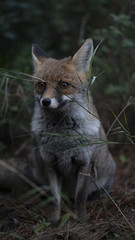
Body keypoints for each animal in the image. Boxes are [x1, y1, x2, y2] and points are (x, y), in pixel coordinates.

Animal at [0, 39, 116, 221]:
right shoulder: (50, 162)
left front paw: (81, 218)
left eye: (64, 84)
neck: (63, 137)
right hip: (35, 161)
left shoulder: (85, 162)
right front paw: (54, 219)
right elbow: (55, 198)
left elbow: (80, 197)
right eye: (41, 85)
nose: (46, 102)